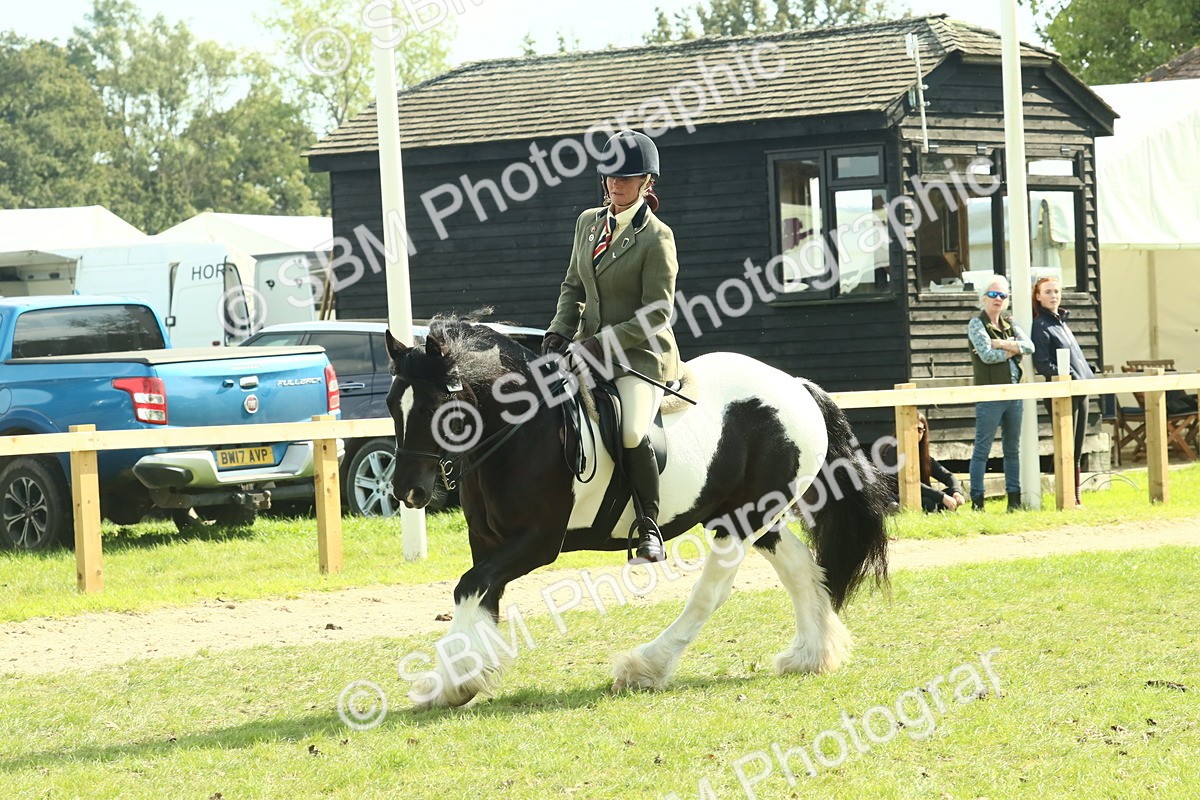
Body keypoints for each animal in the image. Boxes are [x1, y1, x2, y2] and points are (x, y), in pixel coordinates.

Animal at [384, 312, 889, 710]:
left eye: (438, 407)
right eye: (392, 404)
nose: (407, 491)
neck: (521, 429)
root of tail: (795, 387)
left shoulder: (538, 542)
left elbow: (469, 587)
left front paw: (455, 682)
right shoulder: (487, 541)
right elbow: (481, 596)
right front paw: (457, 680)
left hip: (743, 519)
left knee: (712, 591)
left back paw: (645, 666)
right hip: (749, 515)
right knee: (801, 568)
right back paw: (811, 656)